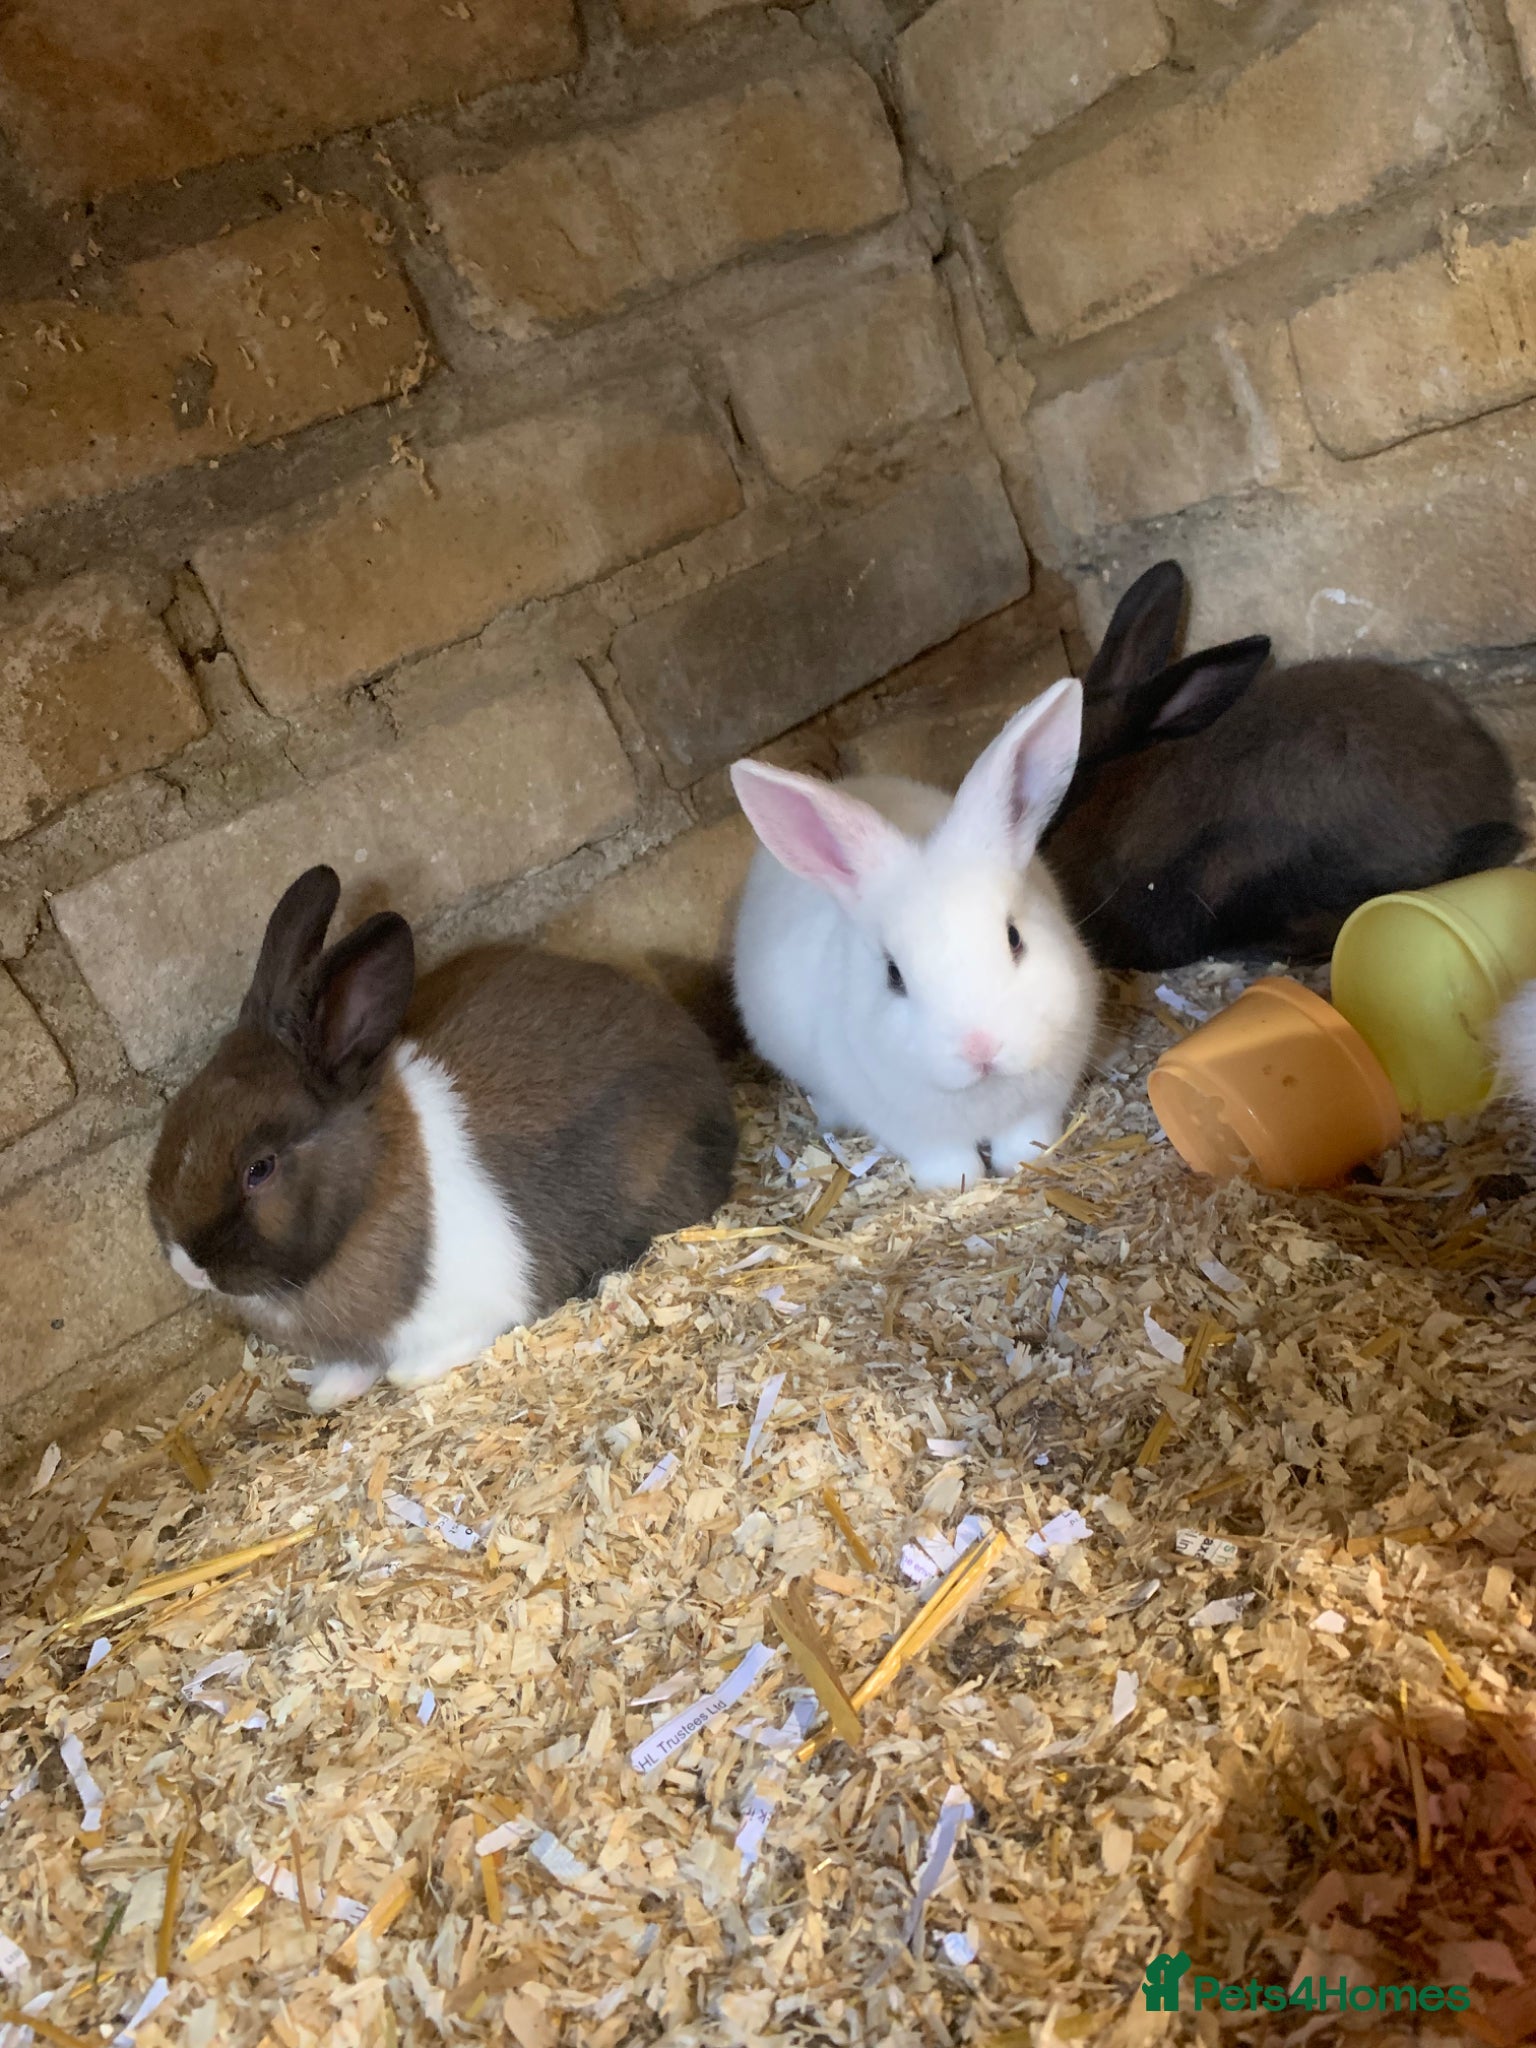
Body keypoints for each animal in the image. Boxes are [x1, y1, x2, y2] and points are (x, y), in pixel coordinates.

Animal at [147, 865, 738, 1413]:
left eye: (260, 1168)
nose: (186, 1266)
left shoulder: (479, 1301)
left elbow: (423, 1358)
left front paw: (407, 1373)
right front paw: (327, 1393)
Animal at [729, 677, 1100, 1193]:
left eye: (1014, 938)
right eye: (893, 975)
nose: (981, 1048)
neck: (984, 1093)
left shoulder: (1042, 1101)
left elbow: (1024, 1140)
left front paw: (1020, 1163)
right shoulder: (908, 1127)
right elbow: (948, 1160)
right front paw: (955, 1184)